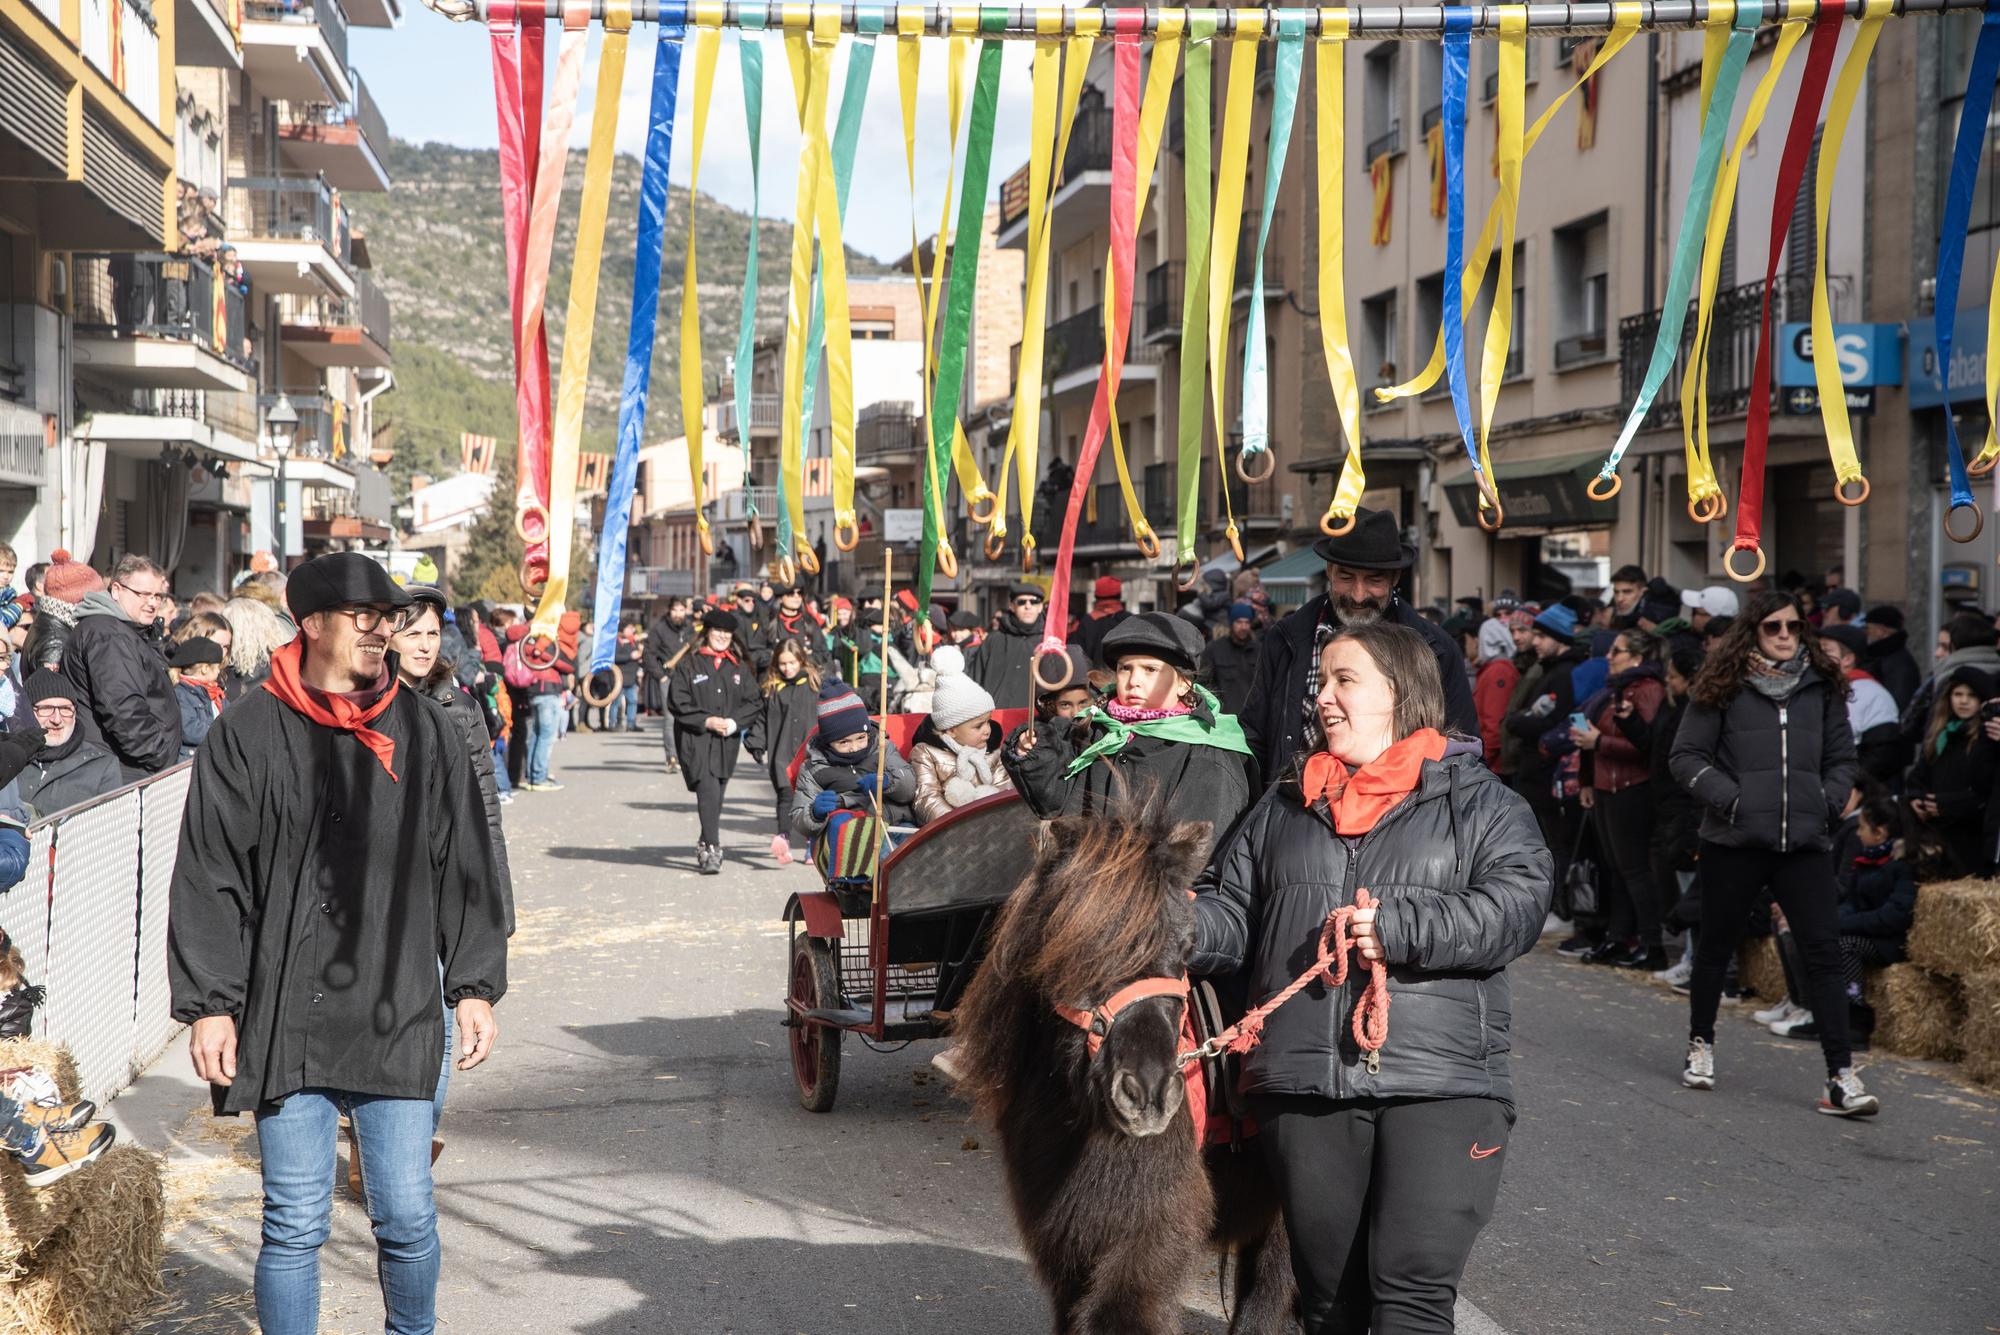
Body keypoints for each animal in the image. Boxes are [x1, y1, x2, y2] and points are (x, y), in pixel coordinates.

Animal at [952, 799, 1296, 1327]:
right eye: (1079, 946)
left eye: (1185, 948)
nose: (1149, 1093)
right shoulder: (1065, 1239)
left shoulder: (1145, 1234)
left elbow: (1119, 1313)